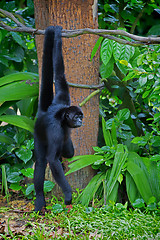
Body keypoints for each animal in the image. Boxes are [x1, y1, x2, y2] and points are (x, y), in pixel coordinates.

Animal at [34, 26, 84, 212]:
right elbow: (52, 160)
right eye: (77, 117)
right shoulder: (55, 129)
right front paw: (68, 194)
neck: (62, 116)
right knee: (41, 161)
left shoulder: (63, 98)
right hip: (38, 134)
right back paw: (39, 199)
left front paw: (57, 34)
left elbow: (60, 75)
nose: (80, 121)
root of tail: (43, 113)